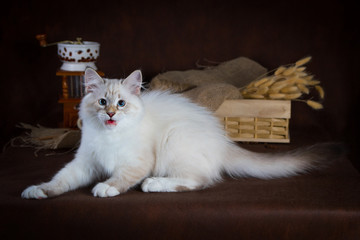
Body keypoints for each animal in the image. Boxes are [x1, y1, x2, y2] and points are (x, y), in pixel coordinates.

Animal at [21, 68, 340, 199]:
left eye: (121, 104)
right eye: (102, 102)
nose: (110, 114)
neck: (108, 136)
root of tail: (222, 141)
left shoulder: (137, 162)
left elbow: (119, 178)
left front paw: (105, 188)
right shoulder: (85, 162)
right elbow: (60, 180)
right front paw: (38, 191)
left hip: (174, 140)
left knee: (199, 181)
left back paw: (153, 184)